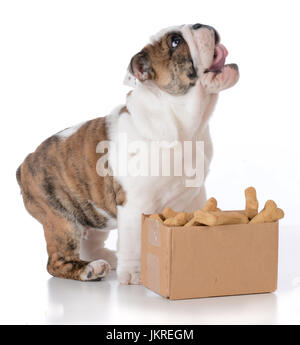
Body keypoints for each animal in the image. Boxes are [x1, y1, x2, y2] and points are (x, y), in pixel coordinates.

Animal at [18, 23, 239, 282]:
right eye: (175, 41)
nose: (200, 24)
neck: (181, 121)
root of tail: (25, 163)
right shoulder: (135, 204)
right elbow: (133, 241)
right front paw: (133, 274)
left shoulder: (195, 195)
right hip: (61, 219)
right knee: (57, 261)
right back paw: (90, 269)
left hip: (94, 210)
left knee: (90, 238)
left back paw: (105, 257)